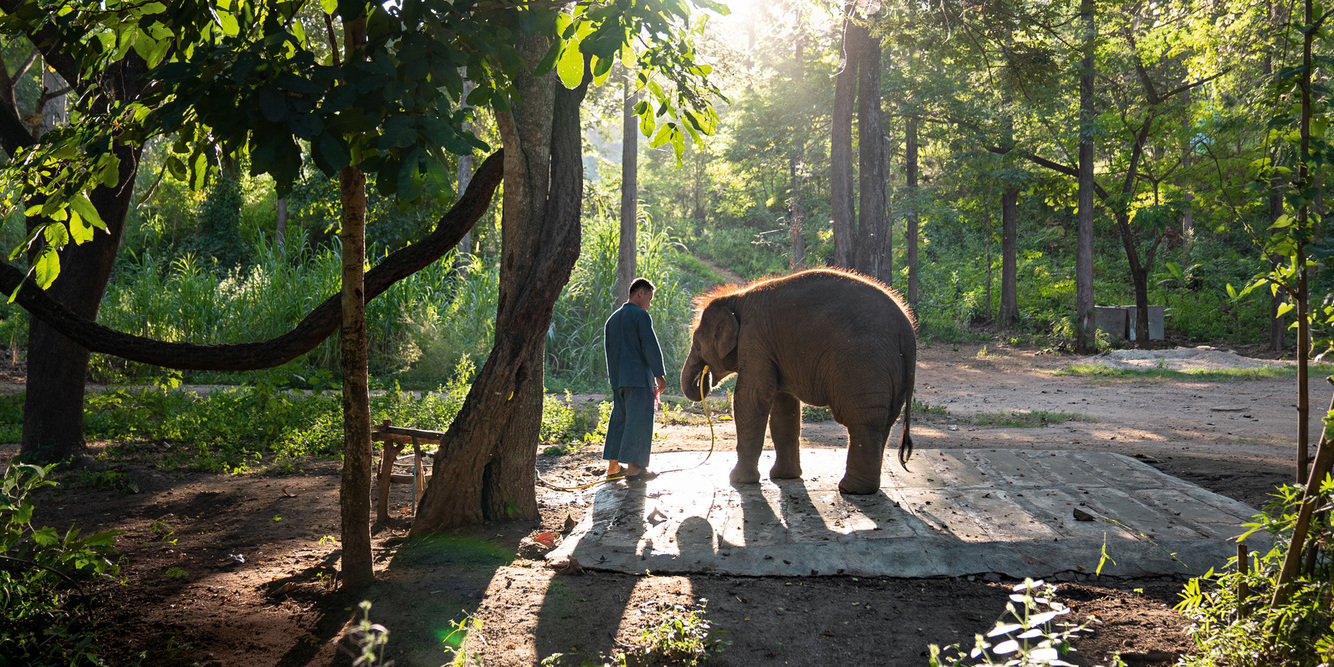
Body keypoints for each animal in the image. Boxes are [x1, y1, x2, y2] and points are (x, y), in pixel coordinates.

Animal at [677, 266, 917, 496]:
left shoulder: (754, 340)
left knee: (863, 421)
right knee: (884, 423)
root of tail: (908, 332)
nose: (704, 381)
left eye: (697, 344)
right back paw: (865, 488)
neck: (736, 298)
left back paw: (852, 490)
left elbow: (751, 397)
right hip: (892, 373)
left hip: (863, 364)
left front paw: (737, 480)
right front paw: (784, 477)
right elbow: (784, 406)